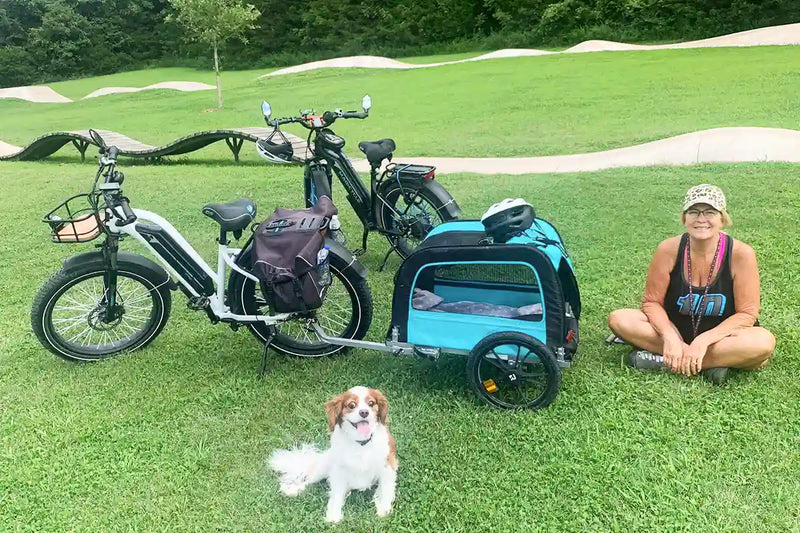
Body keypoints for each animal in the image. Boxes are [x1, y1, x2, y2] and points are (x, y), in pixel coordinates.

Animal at [268, 384, 396, 520]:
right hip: (322, 468)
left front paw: (383, 509)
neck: (360, 443)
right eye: (351, 405)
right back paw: (293, 489)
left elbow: (386, 489)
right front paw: (333, 516)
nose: (364, 412)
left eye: (371, 403)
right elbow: (336, 495)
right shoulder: (339, 471)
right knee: (308, 479)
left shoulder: (387, 467)